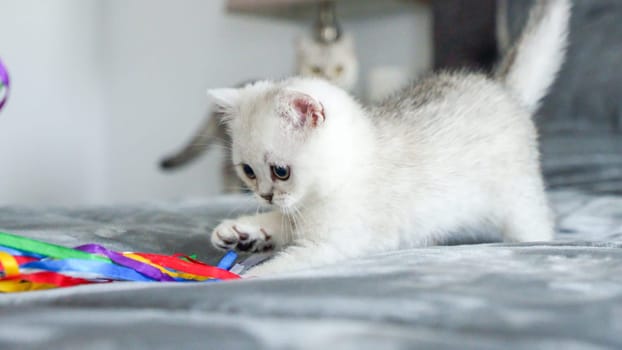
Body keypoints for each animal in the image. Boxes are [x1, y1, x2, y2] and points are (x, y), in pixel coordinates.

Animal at [208, 0, 572, 274]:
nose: (265, 195)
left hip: (518, 204)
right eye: (248, 171)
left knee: (536, 225)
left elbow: (279, 266)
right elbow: (280, 223)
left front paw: (241, 277)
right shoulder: (299, 216)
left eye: (280, 171)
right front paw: (241, 232)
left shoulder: (334, 243)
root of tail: (500, 87)